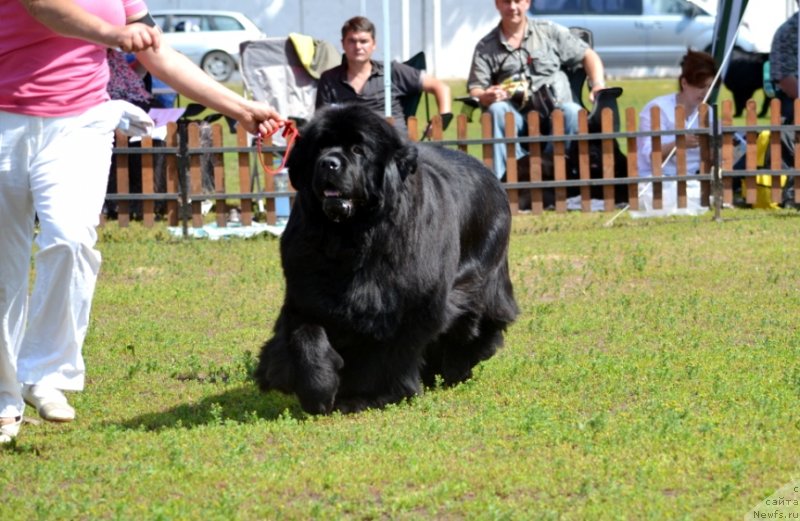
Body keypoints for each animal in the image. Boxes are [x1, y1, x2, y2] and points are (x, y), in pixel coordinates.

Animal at [255, 103, 520, 414]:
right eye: (319, 148)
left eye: (358, 150)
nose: (328, 163)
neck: (350, 238)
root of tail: (492, 177)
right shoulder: (306, 292)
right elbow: (305, 337)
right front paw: (317, 389)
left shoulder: (408, 302)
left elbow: (388, 355)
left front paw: (368, 396)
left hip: (480, 277)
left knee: (474, 324)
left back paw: (456, 369)